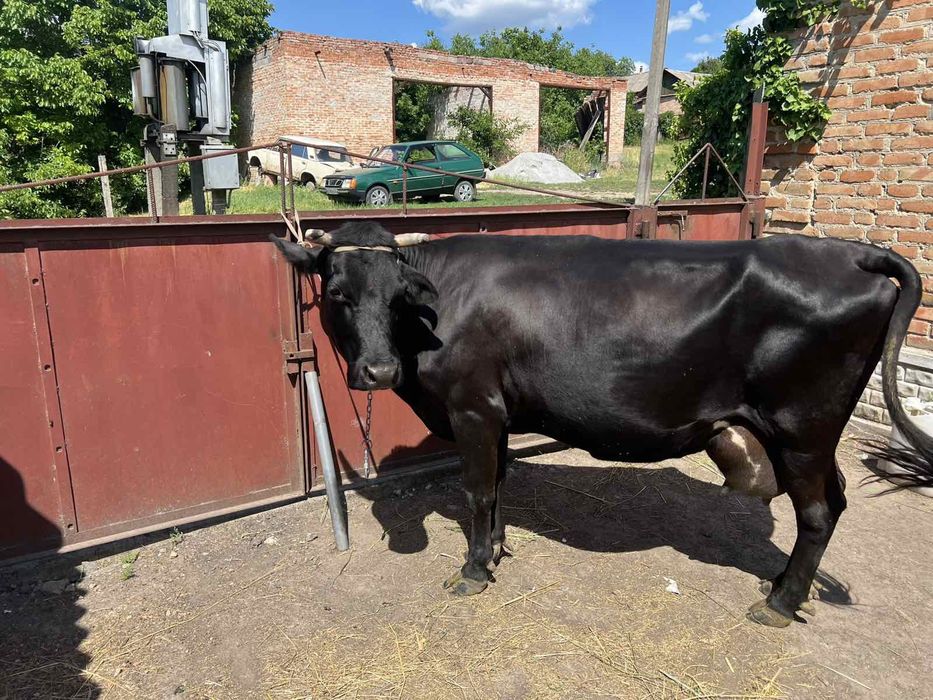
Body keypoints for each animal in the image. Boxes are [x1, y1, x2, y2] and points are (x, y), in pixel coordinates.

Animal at [271, 221, 933, 628]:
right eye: (337, 292)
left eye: (399, 297)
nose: (378, 370)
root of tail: (850, 251)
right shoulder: (498, 410)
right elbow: (500, 483)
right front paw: (499, 548)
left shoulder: (472, 406)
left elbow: (477, 489)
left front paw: (473, 569)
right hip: (810, 435)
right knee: (835, 500)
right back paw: (781, 582)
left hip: (801, 427)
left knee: (817, 512)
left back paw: (779, 602)